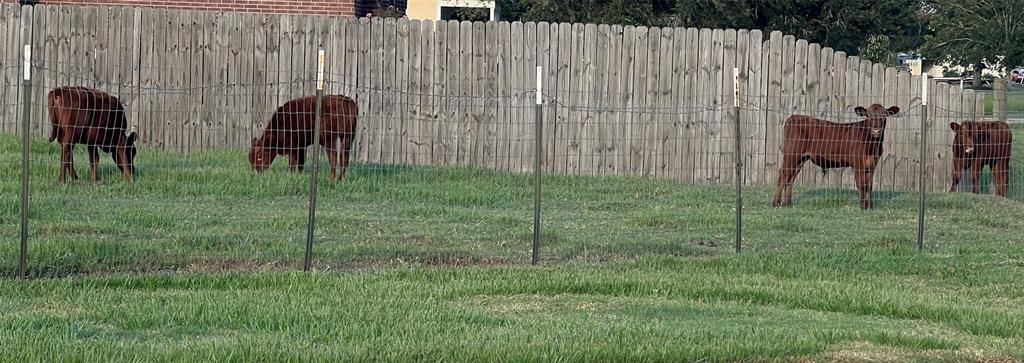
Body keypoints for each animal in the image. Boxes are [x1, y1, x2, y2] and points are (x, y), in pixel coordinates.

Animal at [770, 103, 901, 208]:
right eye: (868, 115)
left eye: (884, 115)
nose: (876, 131)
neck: (872, 145)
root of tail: (794, 117)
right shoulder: (858, 163)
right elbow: (862, 185)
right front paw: (863, 206)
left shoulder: (872, 164)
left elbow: (869, 186)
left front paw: (870, 206)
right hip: (791, 155)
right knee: (782, 175)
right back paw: (776, 203)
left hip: (800, 158)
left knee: (790, 178)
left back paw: (788, 204)